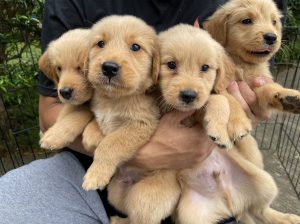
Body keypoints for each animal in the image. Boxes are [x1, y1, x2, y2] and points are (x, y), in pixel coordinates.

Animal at [81, 15, 162, 191]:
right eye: (101, 43)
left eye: (135, 47)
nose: (109, 68)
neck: (113, 99)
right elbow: (97, 125)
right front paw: (91, 135)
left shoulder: (141, 123)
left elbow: (109, 144)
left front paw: (95, 175)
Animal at [107, 24, 300, 224]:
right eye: (171, 65)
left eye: (205, 68)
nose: (188, 96)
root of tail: (230, 203)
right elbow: (218, 99)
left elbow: (218, 98)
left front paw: (221, 130)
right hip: (162, 205)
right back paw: (118, 220)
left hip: (265, 182)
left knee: (260, 209)